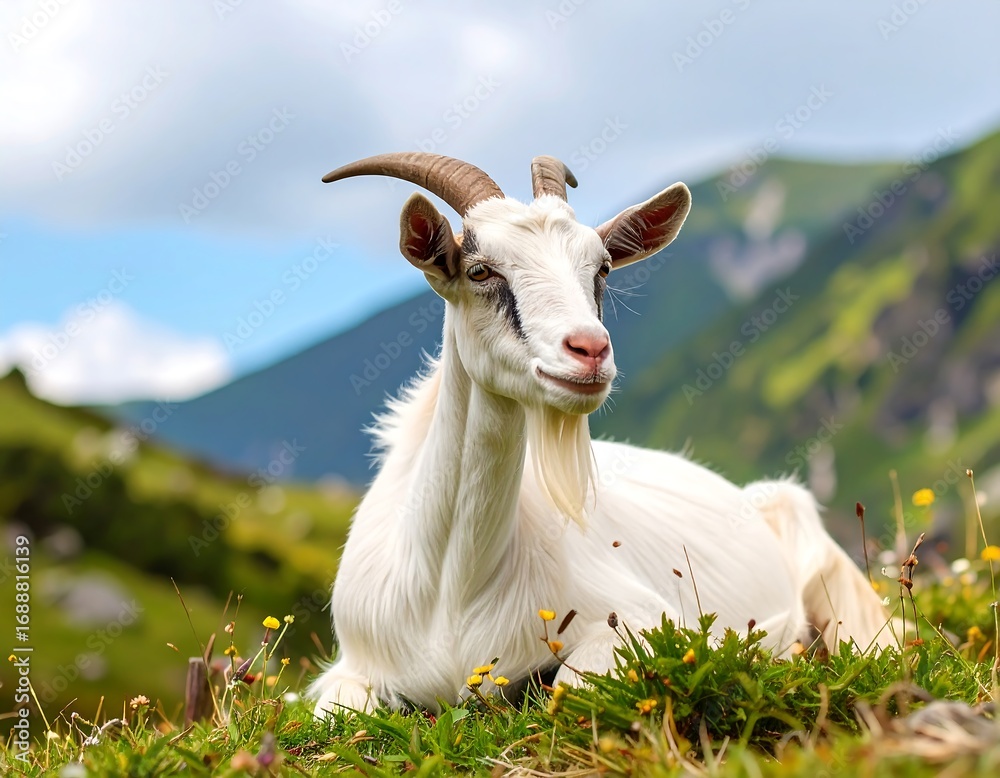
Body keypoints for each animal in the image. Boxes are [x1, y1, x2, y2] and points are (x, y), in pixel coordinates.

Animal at [308, 153, 890, 716]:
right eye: (479, 270)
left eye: (603, 268)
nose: (589, 349)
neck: (451, 589)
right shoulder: (349, 667)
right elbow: (334, 710)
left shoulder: (642, 618)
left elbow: (572, 685)